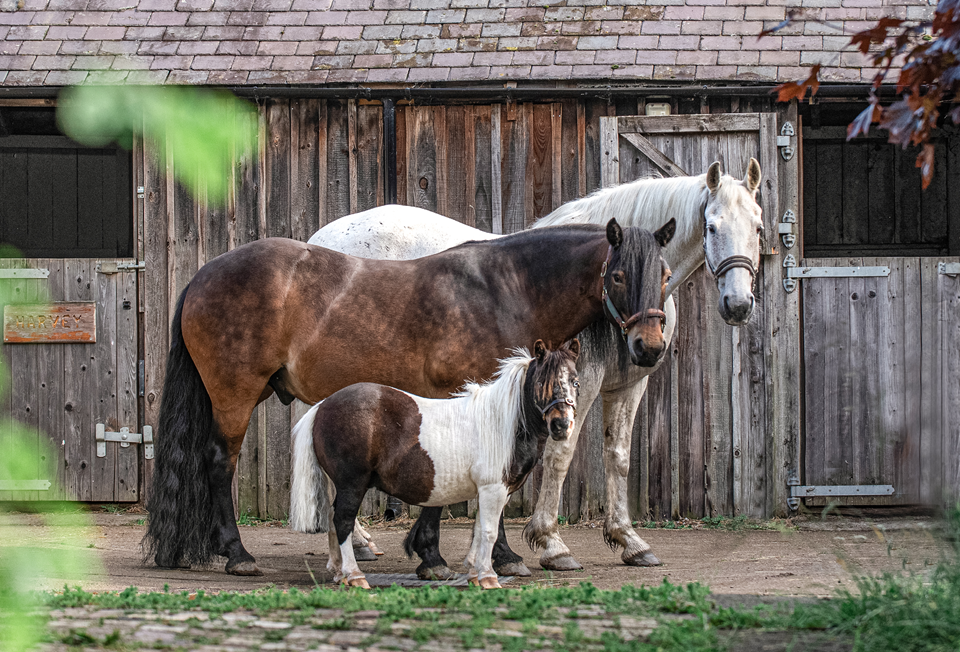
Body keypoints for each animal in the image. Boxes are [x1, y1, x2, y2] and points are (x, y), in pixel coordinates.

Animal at [289, 340, 582, 589]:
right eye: (542, 381)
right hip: (353, 484)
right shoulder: (493, 489)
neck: (502, 422)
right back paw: (354, 574)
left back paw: (339, 572)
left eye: (575, 382)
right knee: (343, 521)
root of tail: (322, 406)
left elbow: (479, 531)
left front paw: (474, 572)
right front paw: (488, 577)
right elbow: (489, 531)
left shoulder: (489, 491)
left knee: (333, 518)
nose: (561, 425)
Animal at [307, 159, 763, 579]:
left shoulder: (629, 386)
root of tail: (318, 239)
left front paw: (629, 540)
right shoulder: (574, 383)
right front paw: (550, 543)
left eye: (758, 228)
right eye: (712, 227)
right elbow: (560, 455)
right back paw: (356, 543)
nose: (738, 304)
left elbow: (617, 458)